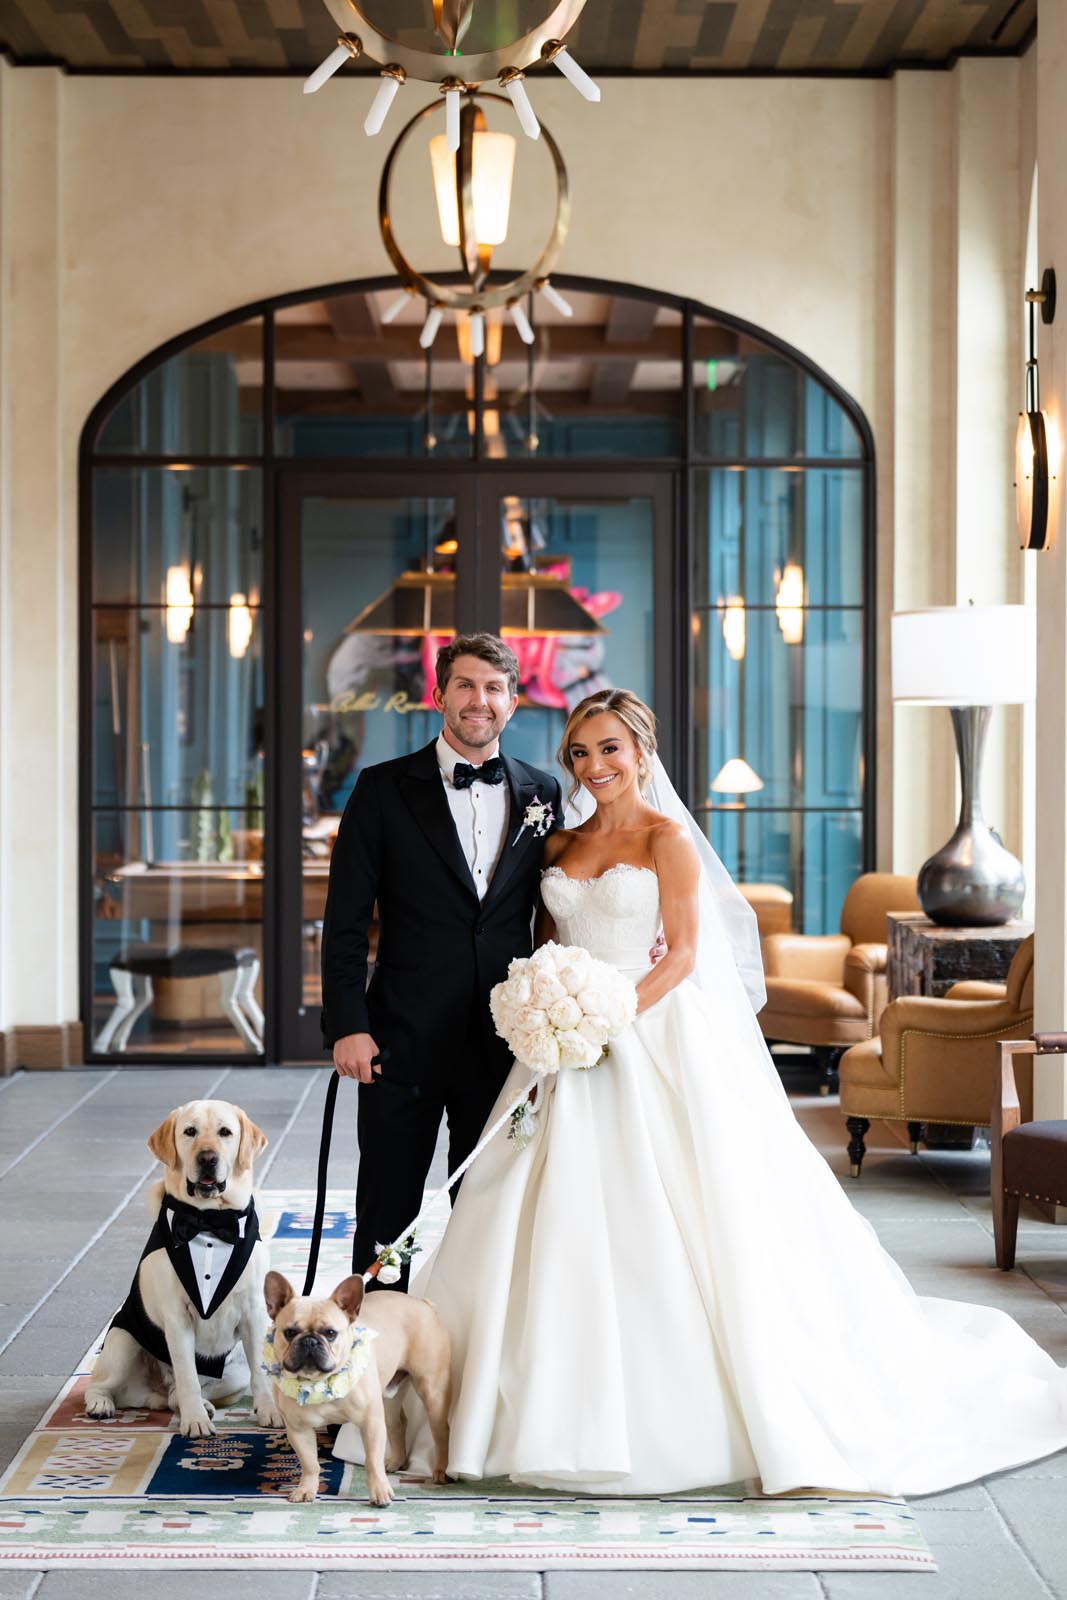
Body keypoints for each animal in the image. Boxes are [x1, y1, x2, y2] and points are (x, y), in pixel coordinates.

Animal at [86, 1098, 283, 1438]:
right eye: (190, 1132)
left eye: (225, 1132)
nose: (207, 1158)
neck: (209, 1219)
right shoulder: (177, 1317)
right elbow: (188, 1375)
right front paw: (195, 1422)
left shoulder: (254, 1313)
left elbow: (261, 1374)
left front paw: (270, 1411)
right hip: (123, 1342)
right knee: (107, 1385)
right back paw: (101, 1404)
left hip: (233, 1373)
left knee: (176, 1393)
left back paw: (200, 1403)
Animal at [264, 1270, 451, 1506]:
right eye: (289, 1332)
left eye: (331, 1333)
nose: (310, 1341)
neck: (318, 1382)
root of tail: (423, 1304)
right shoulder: (298, 1430)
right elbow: (310, 1463)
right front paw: (306, 1489)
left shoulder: (370, 1423)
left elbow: (372, 1461)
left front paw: (380, 1492)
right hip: (388, 1398)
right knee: (398, 1424)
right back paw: (396, 1462)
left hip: (432, 1390)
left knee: (440, 1430)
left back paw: (440, 1471)